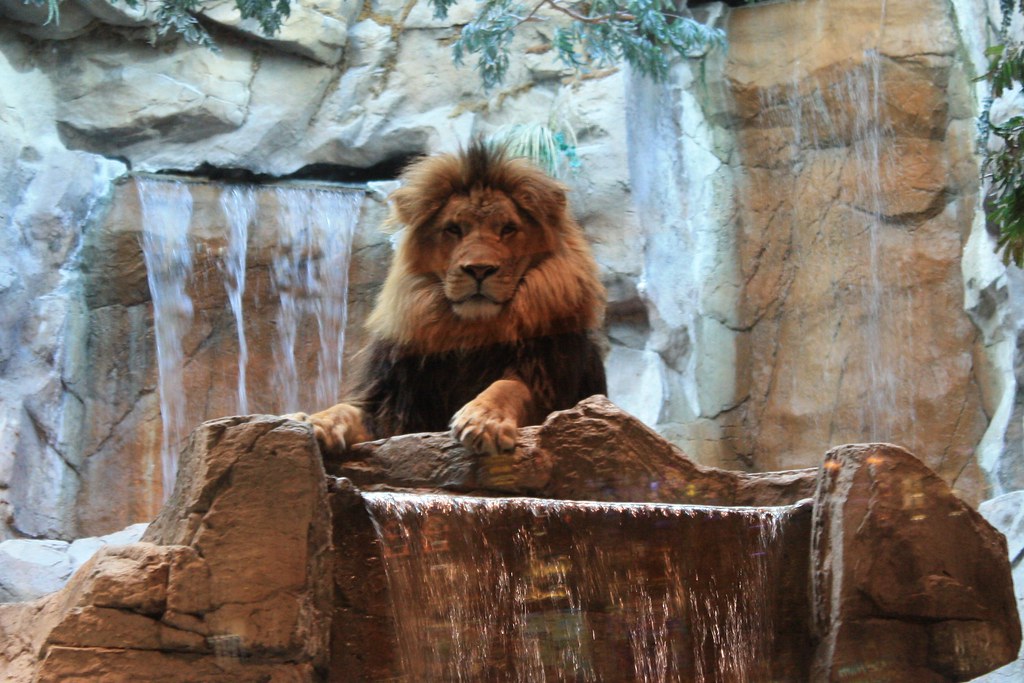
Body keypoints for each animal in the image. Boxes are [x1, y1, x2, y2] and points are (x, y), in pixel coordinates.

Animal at [294, 141, 607, 456]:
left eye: (507, 228)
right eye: (454, 229)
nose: (479, 269)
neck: (469, 332)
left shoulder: (552, 388)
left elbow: (508, 386)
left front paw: (484, 419)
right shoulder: (390, 403)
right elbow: (344, 409)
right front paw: (312, 421)